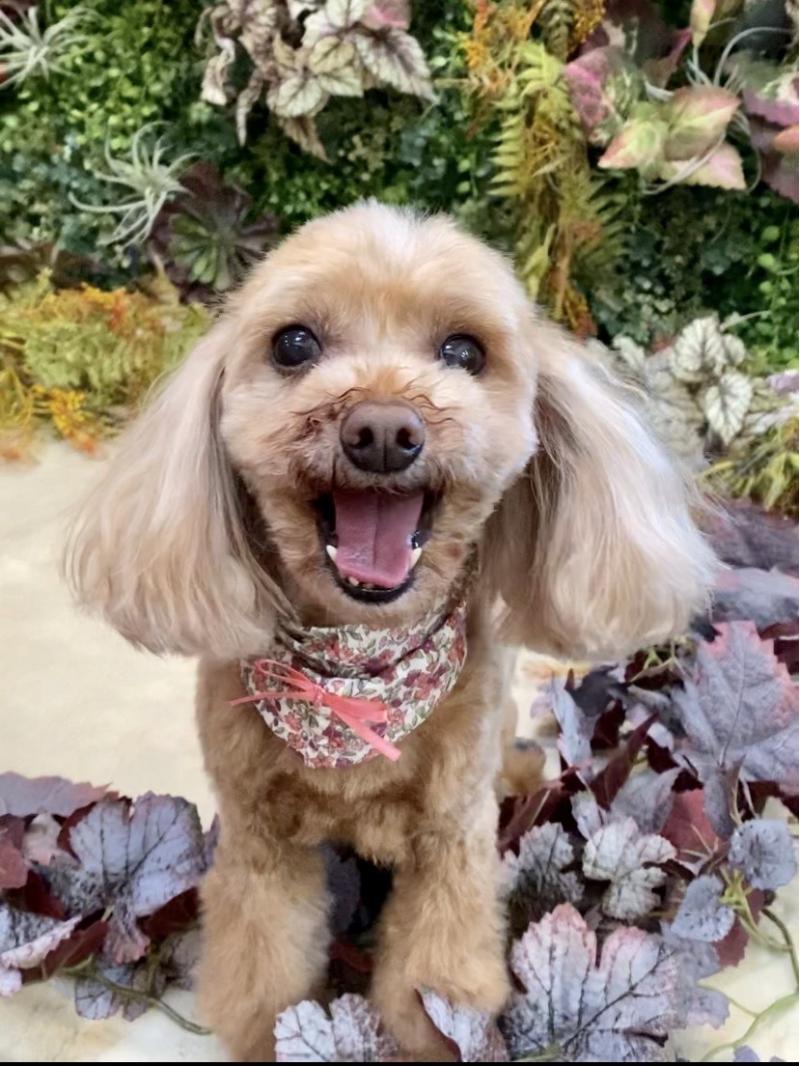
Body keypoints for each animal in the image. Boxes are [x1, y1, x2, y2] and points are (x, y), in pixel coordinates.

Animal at [65, 202, 715, 1060]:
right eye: (294, 344)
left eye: (464, 351)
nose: (380, 430)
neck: (356, 680)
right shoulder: (260, 840)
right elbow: (266, 961)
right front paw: (275, 1031)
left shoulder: (451, 843)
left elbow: (433, 979)